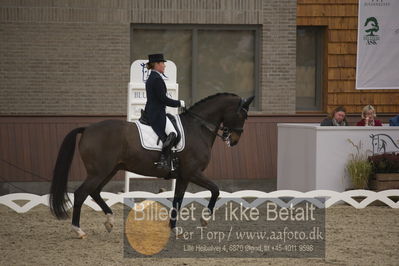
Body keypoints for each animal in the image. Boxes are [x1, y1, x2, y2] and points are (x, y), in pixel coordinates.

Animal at [50, 92, 255, 238]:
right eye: (242, 114)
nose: (234, 140)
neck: (198, 128)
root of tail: (87, 128)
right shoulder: (193, 172)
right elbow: (215, 190)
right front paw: (204, 220)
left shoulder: (183, 176)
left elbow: (178, 200)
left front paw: (174, 228)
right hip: (98, 172)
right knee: (81, 194)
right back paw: (78, 230)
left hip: (109, 170)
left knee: (94, 192)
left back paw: (109, 221)